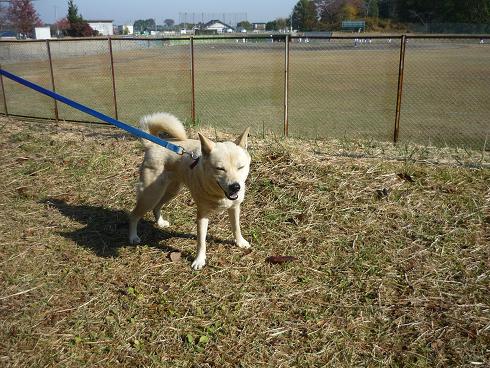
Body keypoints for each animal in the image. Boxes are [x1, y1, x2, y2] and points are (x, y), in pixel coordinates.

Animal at [129, 110, 253, 268]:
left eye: (240, 167)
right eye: (220, 169)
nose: (236, 187)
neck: (219, 194)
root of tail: (153, 145)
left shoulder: (235, 207)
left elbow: (236, 227)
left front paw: (240, 242)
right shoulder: (202, 215)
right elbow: (201, 242)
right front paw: (199, 260)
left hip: (171, 191)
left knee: (157, 207)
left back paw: (160, 223)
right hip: (150, 195)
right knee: (134, 215)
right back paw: (133, 237)